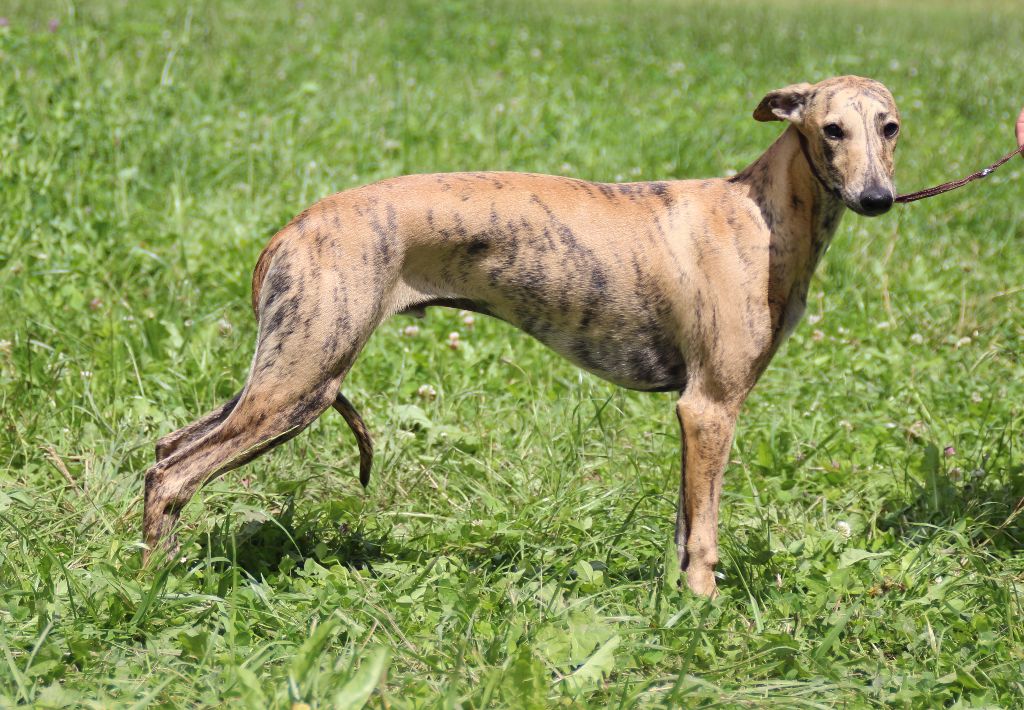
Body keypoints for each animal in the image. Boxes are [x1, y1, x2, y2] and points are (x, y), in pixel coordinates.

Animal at [143, 75, 900, 596]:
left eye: (889, 127)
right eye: (831, 129)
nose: (877, 200)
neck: (757, 214)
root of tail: (294, 227)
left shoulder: (694, 414)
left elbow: (686, 525)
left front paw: (676, 603)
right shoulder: (710, 406)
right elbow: (706, 534)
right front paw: (704, 612)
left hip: (282, 371)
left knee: (166, 449)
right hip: (302, 382)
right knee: (173, 473)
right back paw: (152, 583)